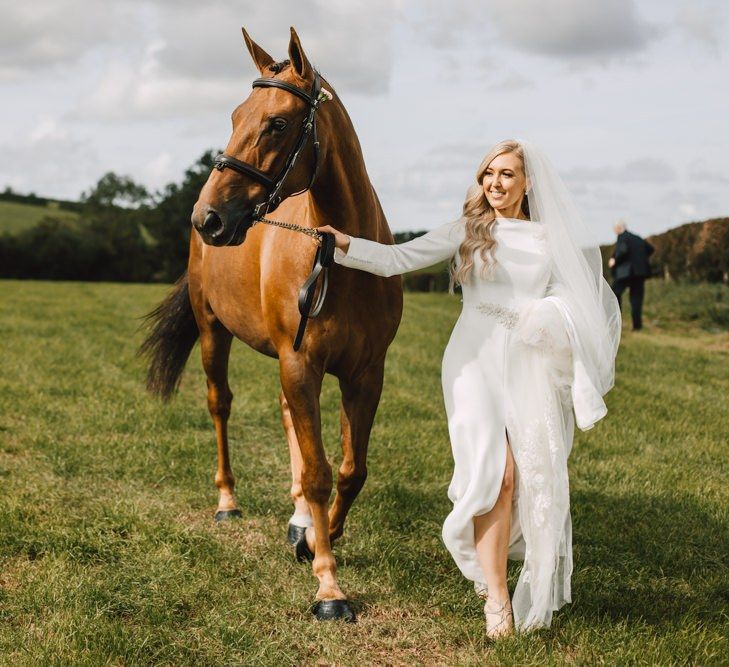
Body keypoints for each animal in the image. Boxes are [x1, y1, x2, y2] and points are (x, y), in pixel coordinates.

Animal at [141, 26, 404, 620]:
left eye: (277, 123)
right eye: (236, 114)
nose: (208, 218)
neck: (338, 254)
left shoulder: (364, 375)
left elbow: (350, 470)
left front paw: (317, 536)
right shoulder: (300, 362)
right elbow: (318, 472)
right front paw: (328, 585)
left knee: (289, 421)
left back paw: (299, 520)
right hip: (214, 332)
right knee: (220, 405)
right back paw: (228, 501)